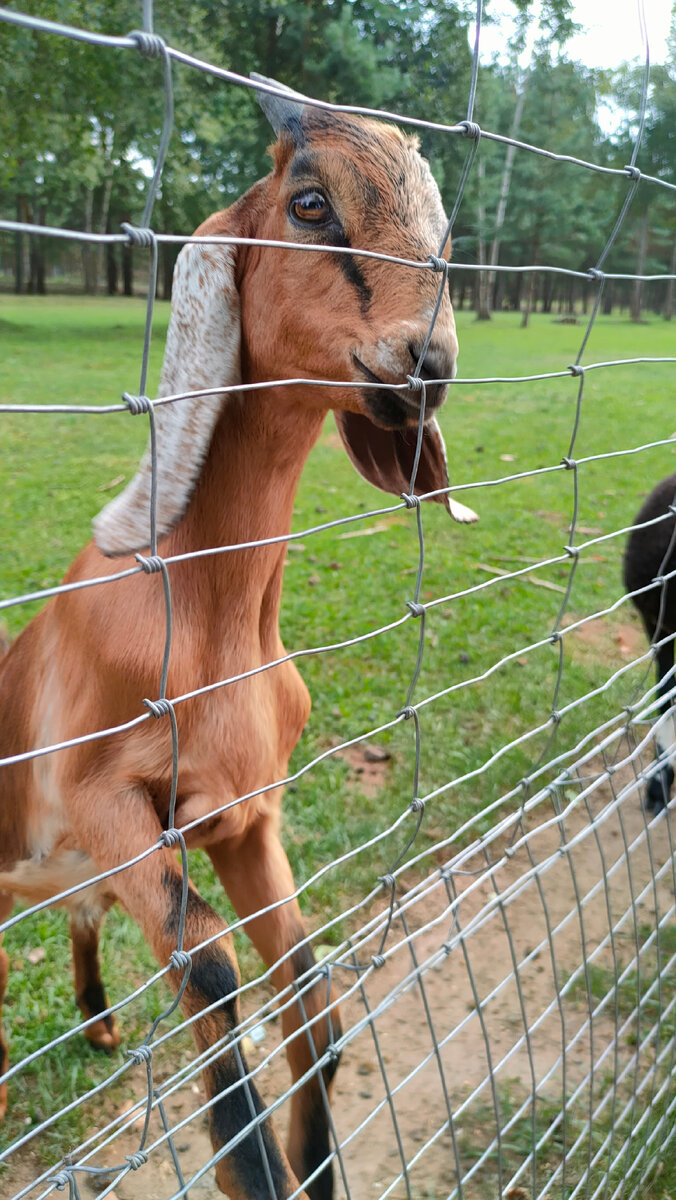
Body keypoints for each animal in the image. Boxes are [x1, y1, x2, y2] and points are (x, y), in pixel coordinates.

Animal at [0, 77, 475, 1200]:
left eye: (443, 229)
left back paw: (97, 1026)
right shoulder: (104, 806)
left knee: (77, 924)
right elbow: (214, 974)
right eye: (310, 202)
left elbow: (309, 988)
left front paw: (316, 1161)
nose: (427, 363)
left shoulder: (248, 815)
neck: (206, 621)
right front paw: (258, 1162)